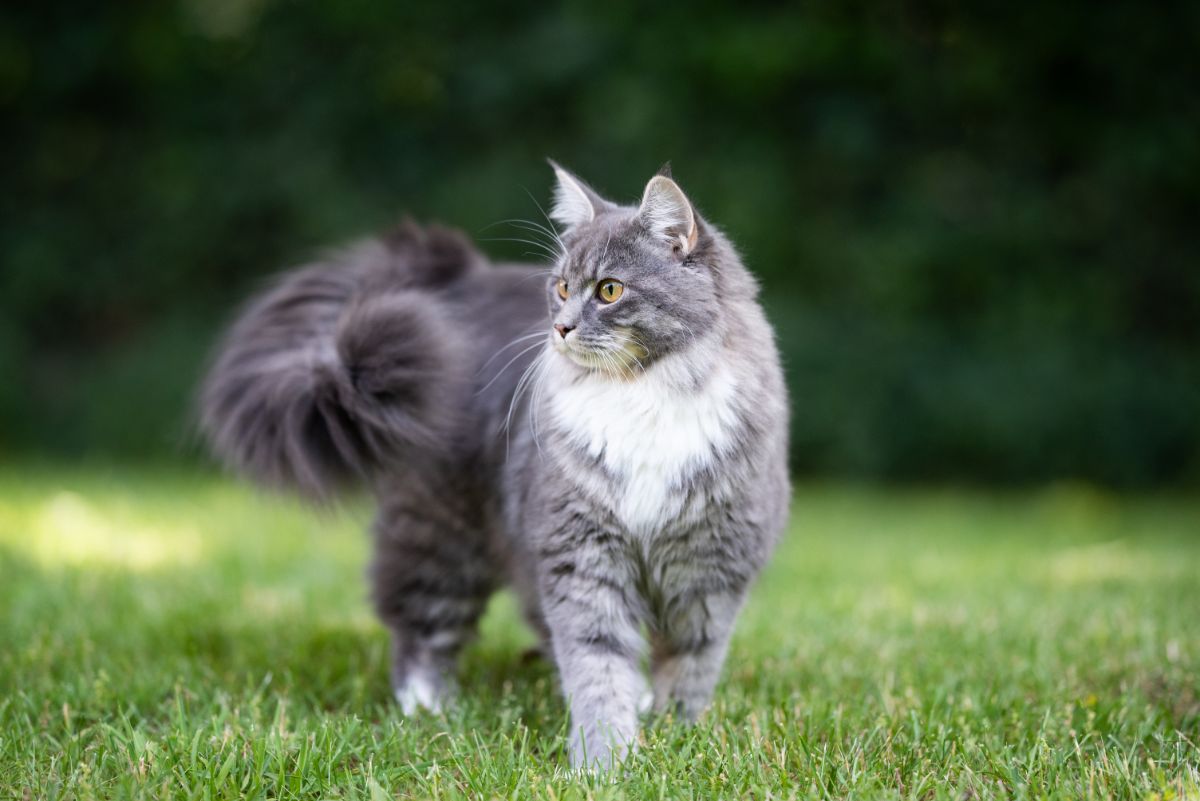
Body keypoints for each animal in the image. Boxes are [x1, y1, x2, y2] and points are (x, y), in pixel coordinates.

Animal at [201, 163, 792, 767]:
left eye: (609, 290)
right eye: (562, 288)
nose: (561, 328)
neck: (640, 395)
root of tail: (465, 280)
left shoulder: (711, 568)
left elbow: (691, 664)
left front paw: (675, 732)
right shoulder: (581, 555)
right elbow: (597, 664)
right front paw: (606, 762)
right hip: (442, 537)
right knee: (420, 626)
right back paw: (429, 710)